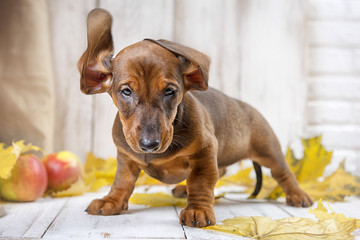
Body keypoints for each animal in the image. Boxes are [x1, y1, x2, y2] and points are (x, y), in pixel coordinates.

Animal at [78, 8, 312, 227]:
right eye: (126, 91)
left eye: (170, 91)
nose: (149, 144)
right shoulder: (126, 158)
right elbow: (122, 181)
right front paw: (111, 201)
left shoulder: (205, 151)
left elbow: (200, 182)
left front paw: (197, 210)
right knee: (222, 169)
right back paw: (183, 188)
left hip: (268, 150)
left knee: (283, 173)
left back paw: (298, 194)